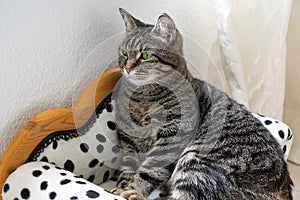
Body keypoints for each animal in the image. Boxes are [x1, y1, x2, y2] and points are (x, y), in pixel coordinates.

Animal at [110, 8, 292, 200]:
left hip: (197, 160)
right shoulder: (128, 142)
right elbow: (127, 169)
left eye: (145, 55)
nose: (127, 67)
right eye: (124, 54)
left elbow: (150, 170)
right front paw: (121, 187)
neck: (142, 97)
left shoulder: (170, 139)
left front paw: (134, 189)